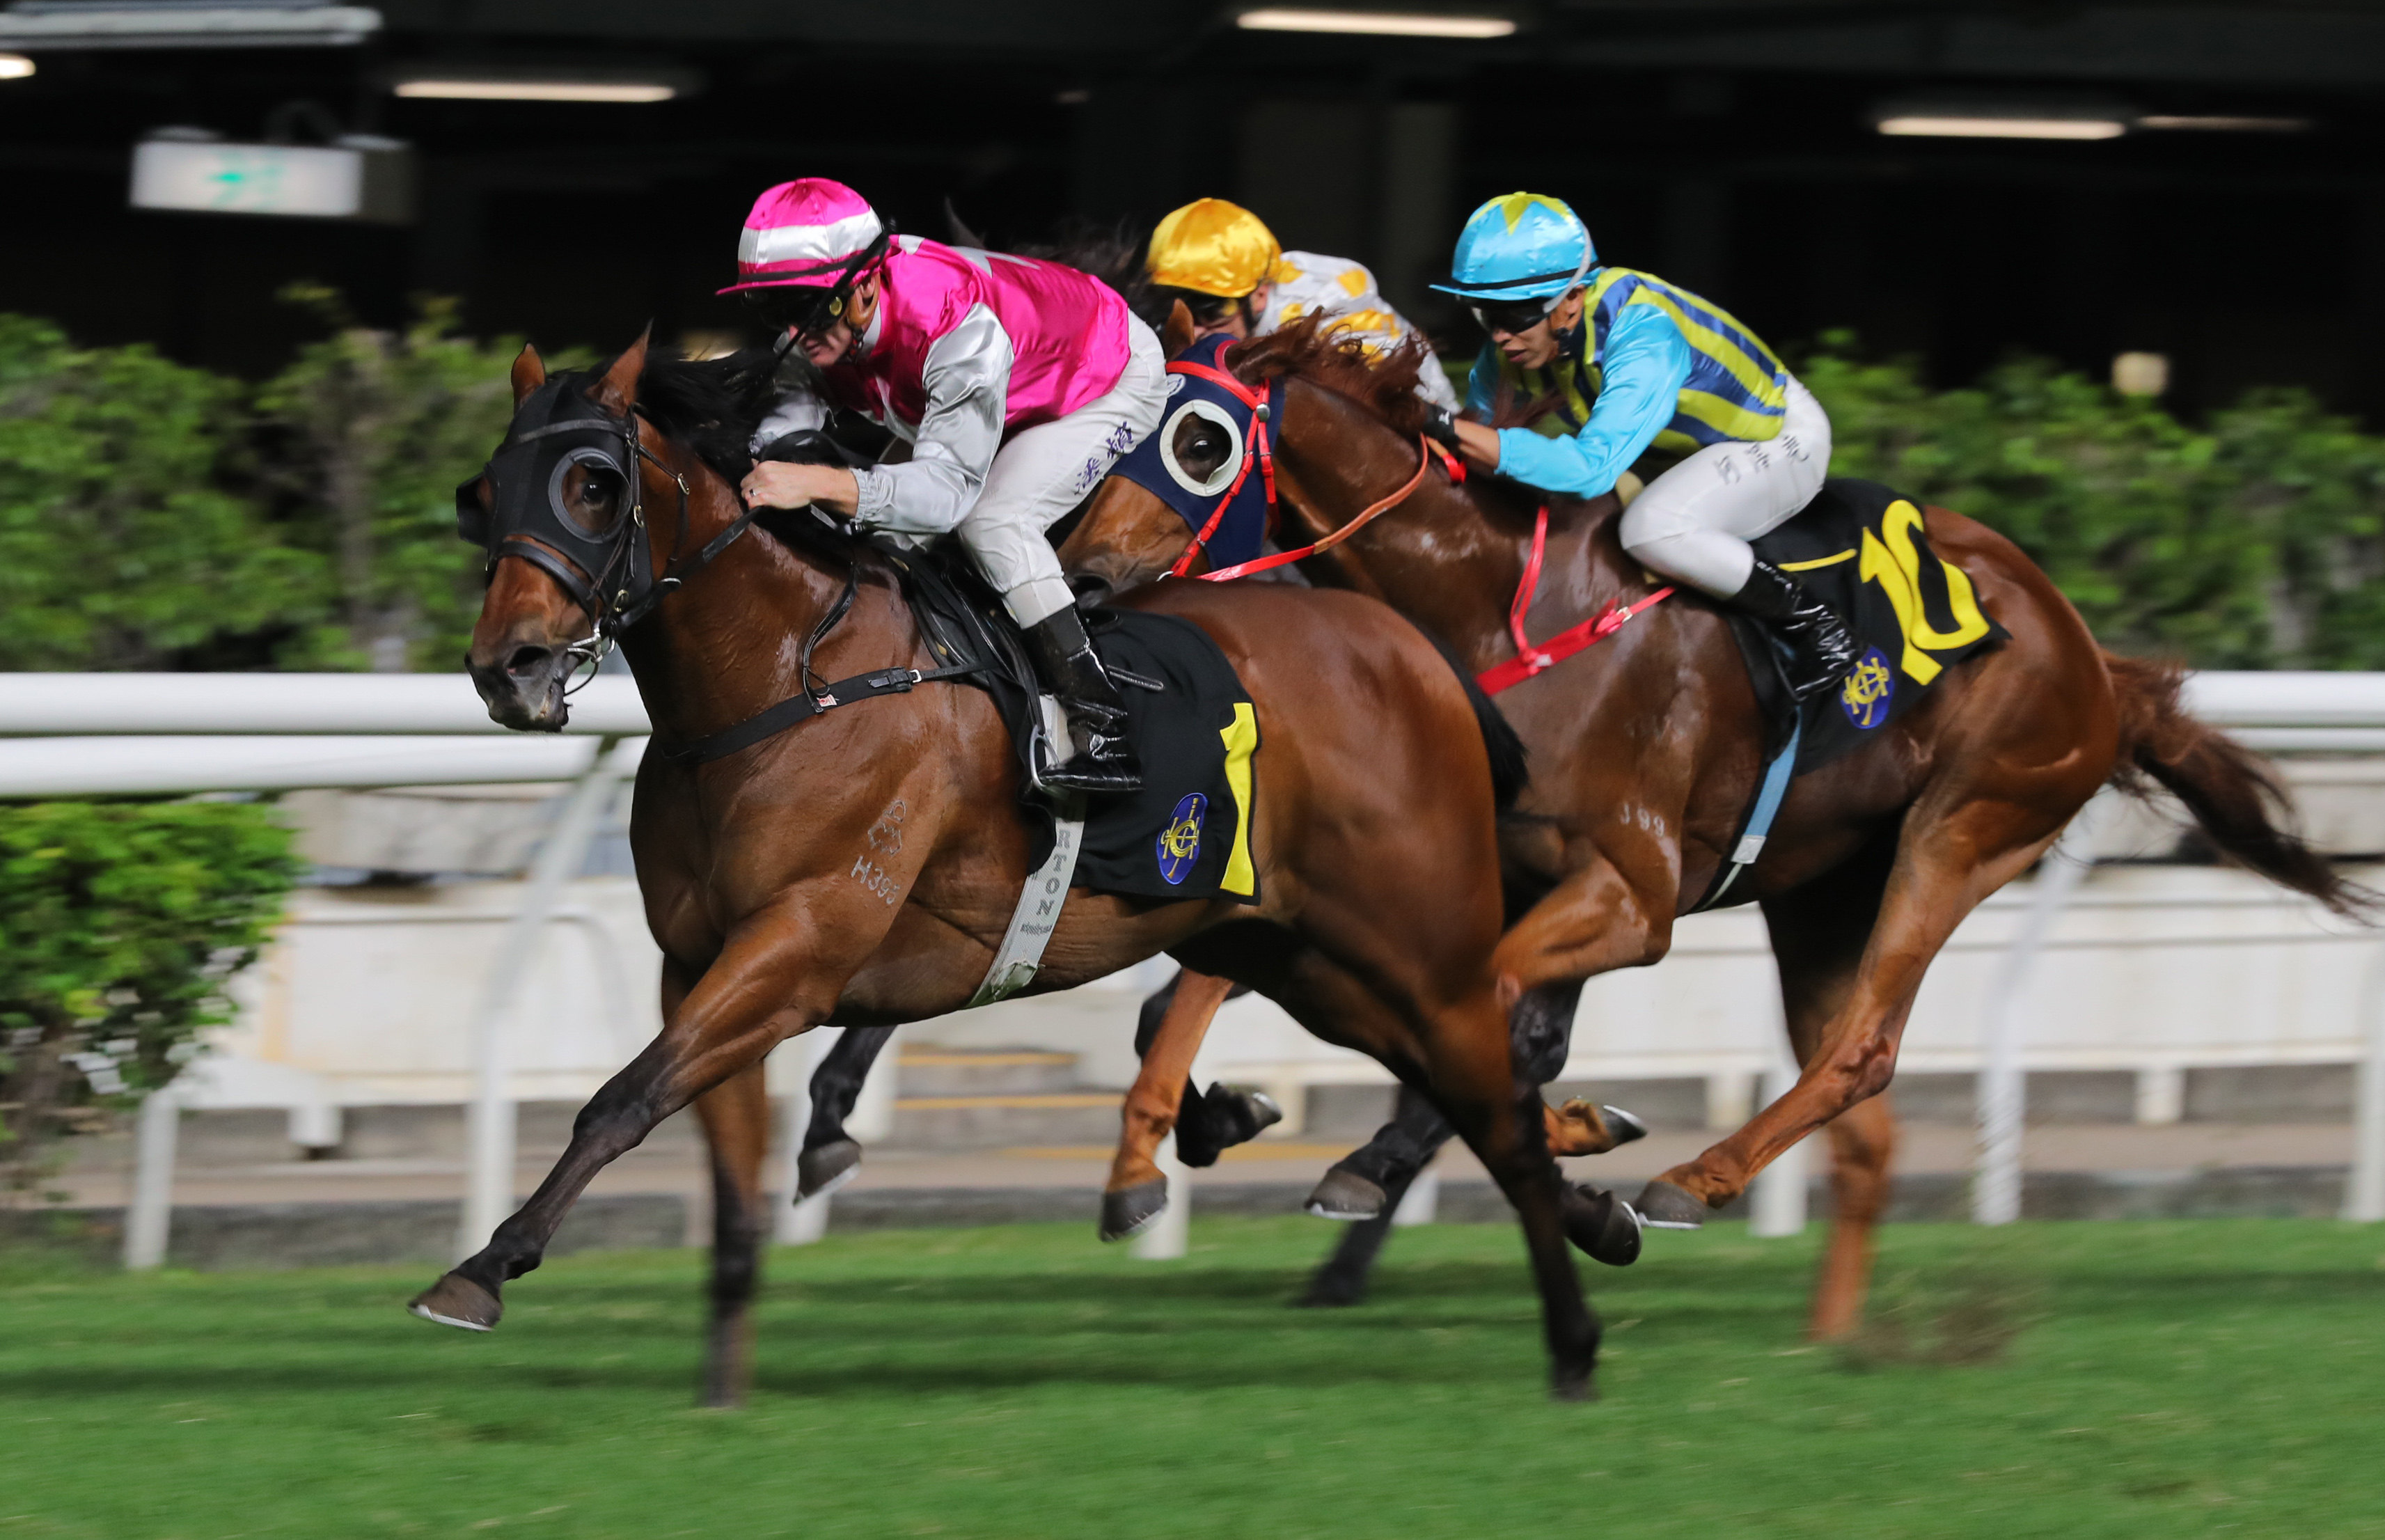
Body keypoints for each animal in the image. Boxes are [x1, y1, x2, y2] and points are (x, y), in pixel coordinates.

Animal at [410, 333, 1612, 1401]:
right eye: (482, 492)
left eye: (594, 482)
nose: (509, 665)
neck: (784, 682)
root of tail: (1415, 652)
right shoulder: (698, 962)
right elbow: (717, 1169)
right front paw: (720, 1387)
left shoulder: (795, 948)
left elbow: (620, 1099)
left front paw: (480, 1270)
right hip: (1307, 959)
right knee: (1469, 1092)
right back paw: (1581, 1211)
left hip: (1417, 945)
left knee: (1494, 1100)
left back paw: (1573, 1339)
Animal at [1054, 314, 2356, 1335]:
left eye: (1201, 440)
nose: (1085, 575)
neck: (1487, 609)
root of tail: (2090, 650)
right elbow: (1192, 1003)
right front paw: (1175, 1146)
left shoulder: (1629, 896)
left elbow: (1485, 1018)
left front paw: (1469, 1159)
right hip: (1821, 890)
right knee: (1863, 1122)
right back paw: (1825, 1337)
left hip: (1966, 827)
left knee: (1862, 1049)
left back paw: (1691, 1179)